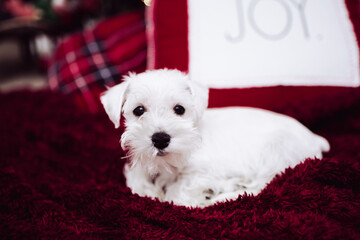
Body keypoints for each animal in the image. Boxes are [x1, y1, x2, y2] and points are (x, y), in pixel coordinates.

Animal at [100, 69, 330, 208]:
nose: (160, 139)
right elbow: (137, 184)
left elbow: (179, 190)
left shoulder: (210, 170)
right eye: (138, 110)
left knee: (264, 185)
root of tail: (315, 139)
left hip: (276, 152)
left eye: (179, 109)